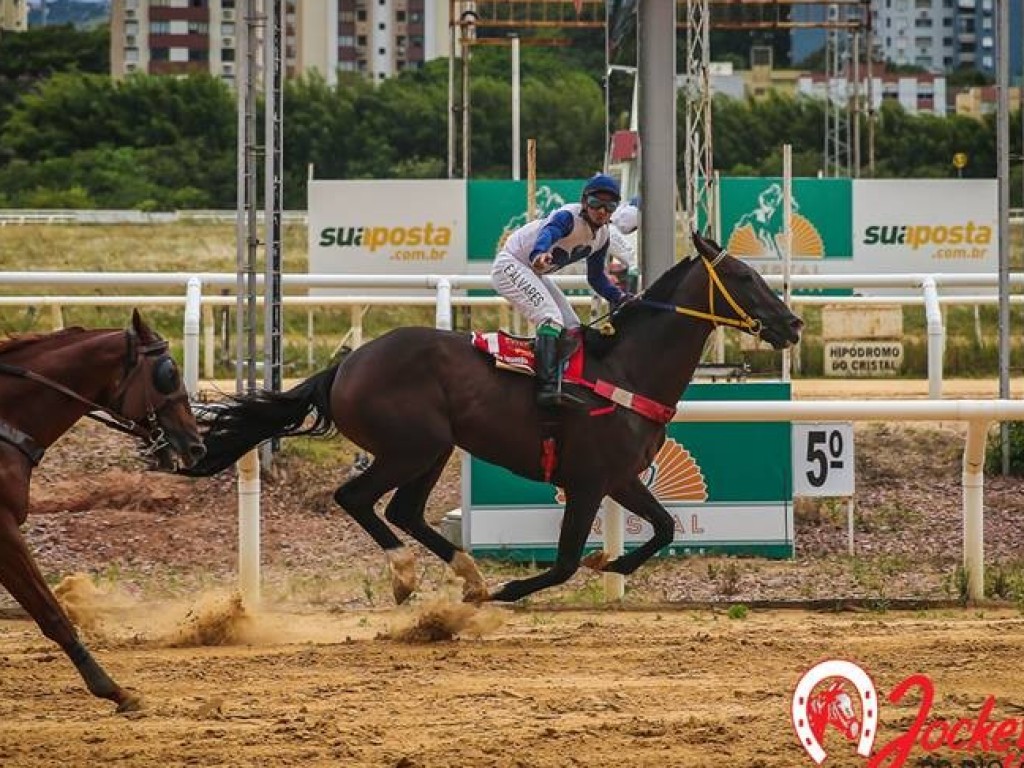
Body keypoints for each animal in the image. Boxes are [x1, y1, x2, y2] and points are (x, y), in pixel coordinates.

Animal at [188, 231, 802, 606]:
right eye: (744, 277)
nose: (793, 323)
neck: (627, 369)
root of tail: (345, 365)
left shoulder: (621, 478)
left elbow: (666, 527)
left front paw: (613, 568)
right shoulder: (586, 481)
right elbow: (565, 562)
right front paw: (515, 590)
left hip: (435, 449)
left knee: (405, 510)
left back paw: (467, 574)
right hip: (410, 446)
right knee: (357, 498)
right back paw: (409, 574)